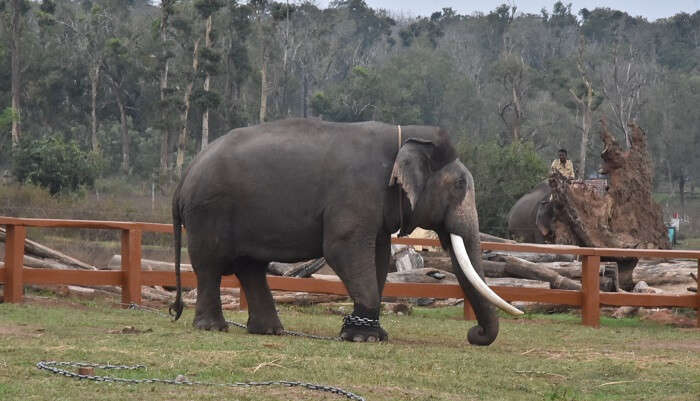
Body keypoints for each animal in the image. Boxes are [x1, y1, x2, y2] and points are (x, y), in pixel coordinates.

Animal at [168, 118, 520, 344]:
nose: (475, 335)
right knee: (210, 265)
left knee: (250, 267)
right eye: (460, 185)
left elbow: (379, 257)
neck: (403, 137)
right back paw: (213, 329)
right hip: (209, 211)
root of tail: (184, 175)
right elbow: (342, 249)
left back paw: (269, 331)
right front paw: (362, 337)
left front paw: (373, 334)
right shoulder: (356, 192)